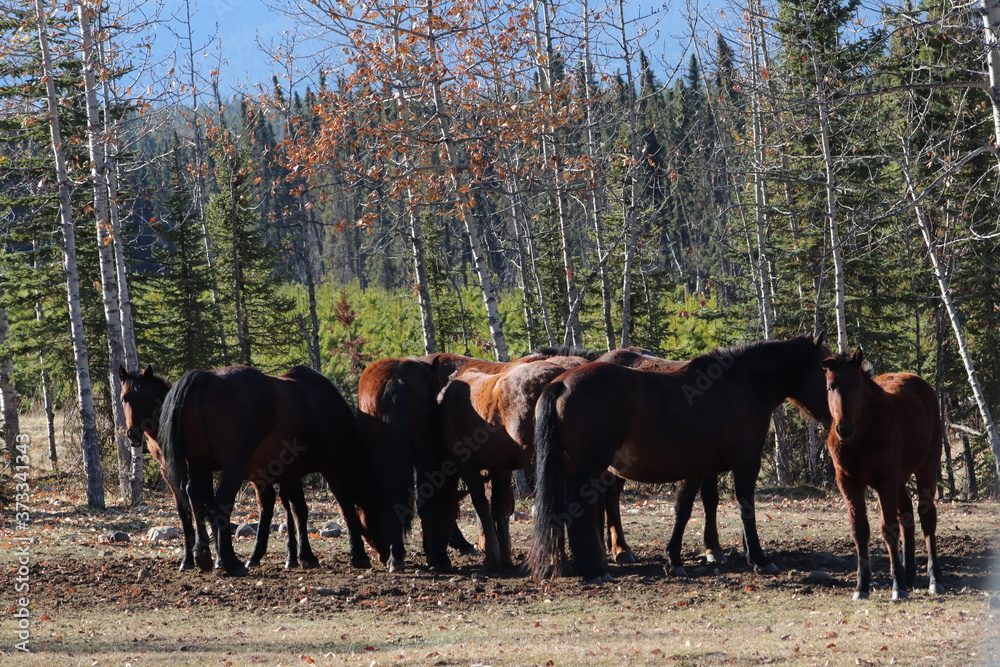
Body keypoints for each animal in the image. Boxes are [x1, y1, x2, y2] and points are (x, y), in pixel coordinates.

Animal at [119, 368, 318, 572]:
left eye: (144, 396)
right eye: (124, 398)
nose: (132, 434)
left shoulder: (202, 470)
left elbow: (208, 506)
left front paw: (218, 557)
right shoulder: (170, 473)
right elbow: (186, 511)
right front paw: (191, 559)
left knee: (285, 505)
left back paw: (290, 557)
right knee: (272, 501)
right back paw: (277, 557)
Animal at [156, 362, 390, 576]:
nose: (386, 555)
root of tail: (206, 378)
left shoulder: (287, 474)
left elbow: (294, 510)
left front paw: (300, 556)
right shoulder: (334, 466)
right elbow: (344, 506)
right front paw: (358, 554)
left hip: (199, 463)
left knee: (194, 495)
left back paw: (203, 554)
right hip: (233, 466)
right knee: (221, 502)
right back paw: (231, 562)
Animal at [528, 334, 832, 584]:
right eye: (827, 373)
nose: (834, 421)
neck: (741, 385)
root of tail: (562, 382)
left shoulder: (697, 467)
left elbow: (683, 510)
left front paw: (675, 559)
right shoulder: (746, 463)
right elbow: (746, 507)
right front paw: (759, 559)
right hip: (591, 467)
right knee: (581, 509)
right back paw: (594, 570)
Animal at [820, 350, 944, 600]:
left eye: (856, 386)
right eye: (830, 387)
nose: (844, 429)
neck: (862, 437)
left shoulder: (885, 480)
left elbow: (889, 528)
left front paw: (898, 588)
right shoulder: (849, 483)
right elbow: (860, 530)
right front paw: (862, 587)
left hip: (926, 469)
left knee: (926, 517)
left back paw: (933, 579)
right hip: (900, 479)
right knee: (906, 513)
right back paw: (909, 574)